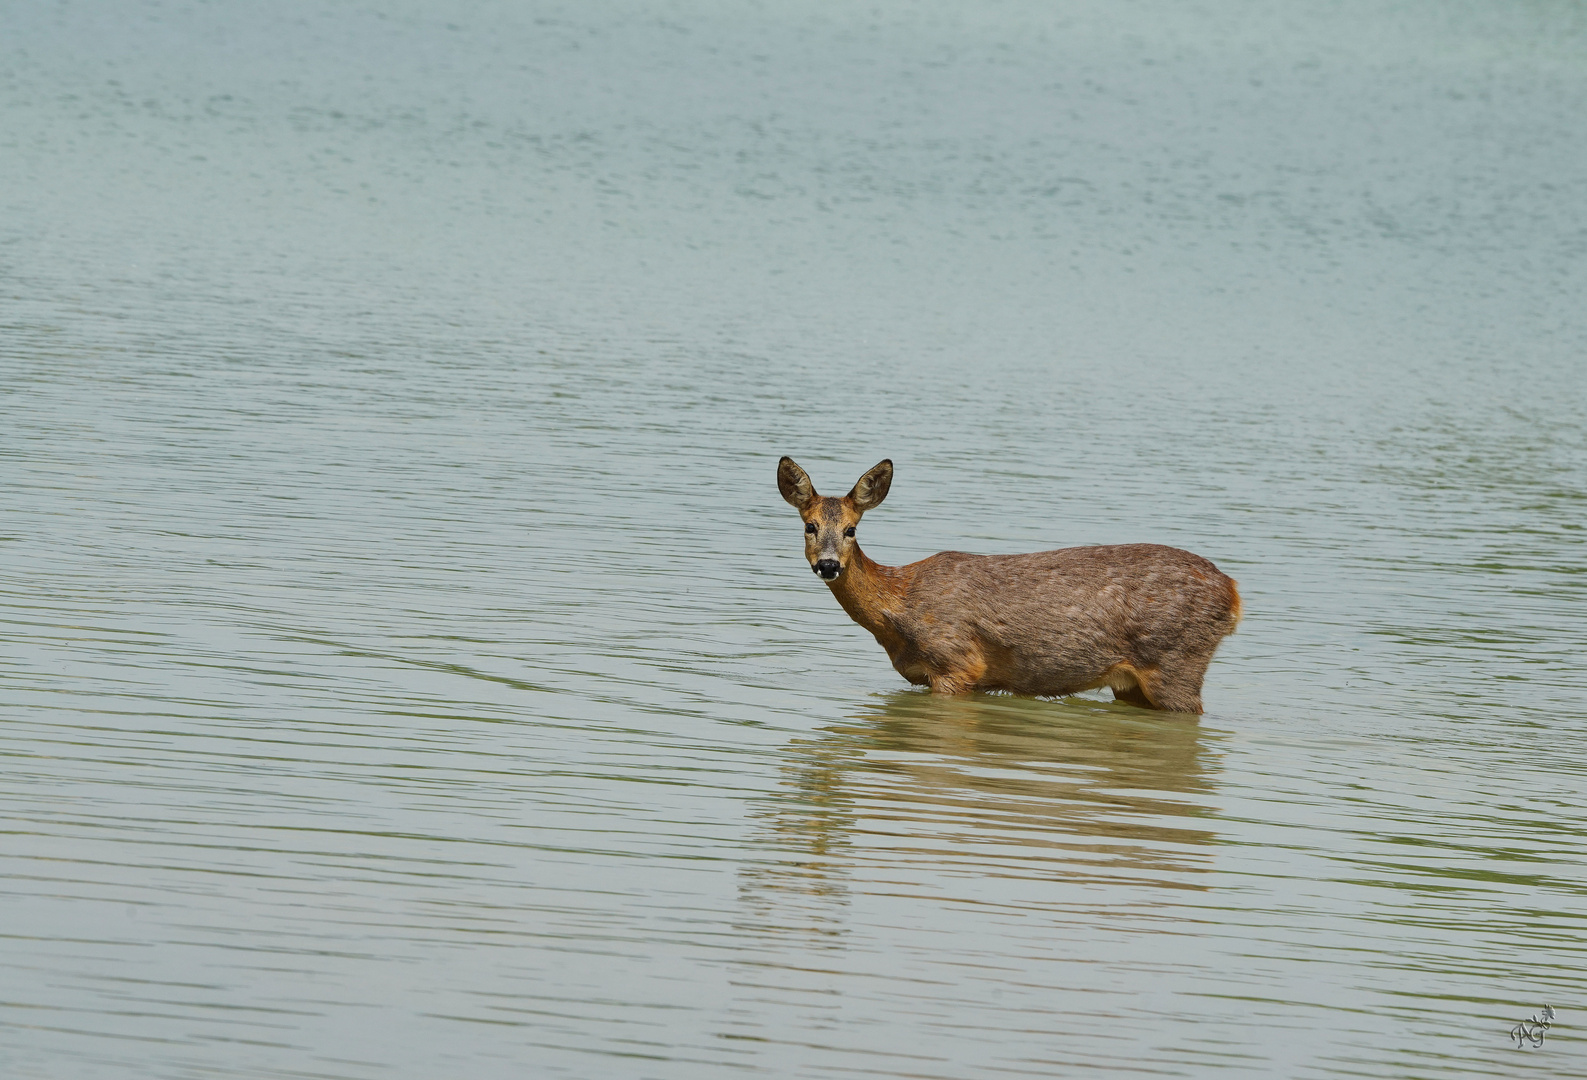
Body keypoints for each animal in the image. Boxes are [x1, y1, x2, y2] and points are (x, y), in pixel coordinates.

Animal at [777, 453, 1237, 710]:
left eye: (851, 529)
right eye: (810, 526)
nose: (829, 565)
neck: (899, 607)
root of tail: (1233, 594)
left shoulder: (957, 662)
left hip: (1176, 663)